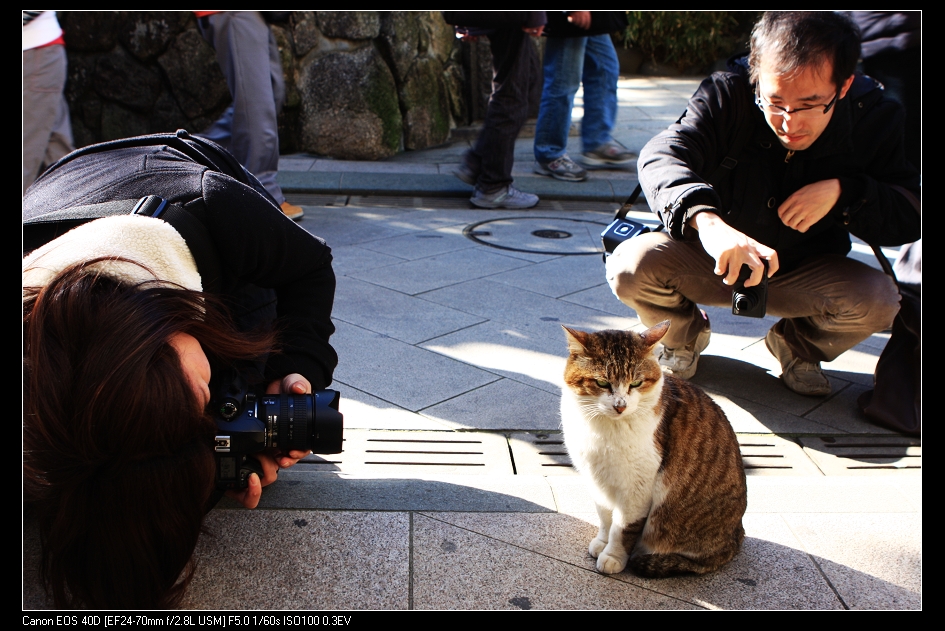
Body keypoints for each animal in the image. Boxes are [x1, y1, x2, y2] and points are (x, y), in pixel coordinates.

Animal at [560, 324, 744, 580]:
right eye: (603, 383)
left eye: (636, 384)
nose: (620, 406)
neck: (604, 428)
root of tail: (738, 535)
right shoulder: (598, 479)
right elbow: (605, 517)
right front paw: (602, 542)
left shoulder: (637, 486)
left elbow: (622, 528)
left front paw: (613, 556)